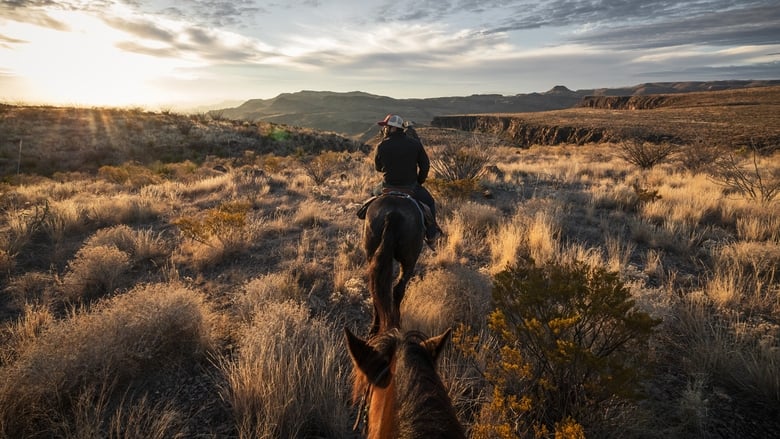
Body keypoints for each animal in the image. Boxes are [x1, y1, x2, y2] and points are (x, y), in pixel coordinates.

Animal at [362, 194, 424, 336]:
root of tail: (393, 214)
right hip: (409, 261)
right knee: (398, 290)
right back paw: (396, 324)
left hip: (371, 253)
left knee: (376, 291)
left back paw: (375, 328)